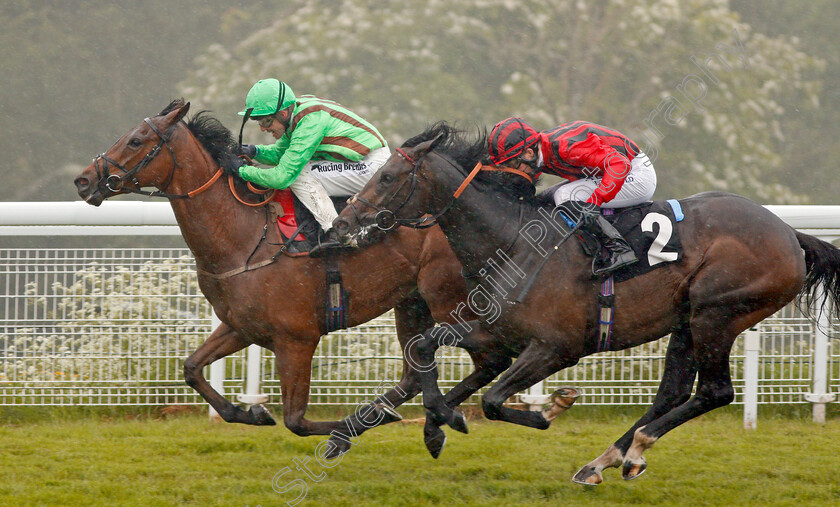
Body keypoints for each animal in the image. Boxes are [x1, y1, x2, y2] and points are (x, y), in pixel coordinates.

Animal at [72, 101, 498, 458]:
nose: (83, 180)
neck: (244, 235)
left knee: (484, 360)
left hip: (450, 300)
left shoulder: (297, 339)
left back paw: (437, 418)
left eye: (136, 140)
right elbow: (192, 368)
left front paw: (338, 432)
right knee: (415, 372)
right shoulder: (241, 326)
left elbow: (295, 420)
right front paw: (250, 413)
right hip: (412, 302)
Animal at [334, 123, 840, 484]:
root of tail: (789, 234)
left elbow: (495, 401)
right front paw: (439, 422)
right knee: (673, 391)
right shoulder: (499, 333)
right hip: (686, 320)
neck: (513, 241)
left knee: (715, 392)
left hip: (716, 312)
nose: (343, 223)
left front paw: (551, 408)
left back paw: (635, 448)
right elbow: (426, 348)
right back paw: (607, 460)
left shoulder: (556, 347)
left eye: (387, 177)